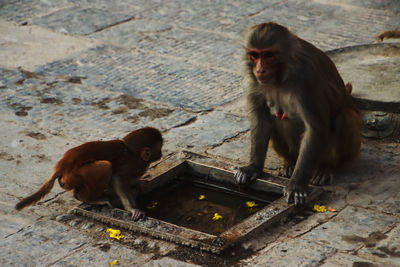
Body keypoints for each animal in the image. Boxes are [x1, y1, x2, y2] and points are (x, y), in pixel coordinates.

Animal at [15, 127, 162, 222]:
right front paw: (133, 209)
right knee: (105, 166)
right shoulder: (134, 164)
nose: (161, 154)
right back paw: (88, 198)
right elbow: (118, 178)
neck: (133, 152)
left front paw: (139, 183)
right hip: (72, 176)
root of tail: (63, 163)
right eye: (159, 148)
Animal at [234, 23, 362, 207]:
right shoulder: (253, 80)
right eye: (254, 55)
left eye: (268, 54)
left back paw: (327, 168)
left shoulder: (307, 79)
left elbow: (315, 129)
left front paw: (297, 185)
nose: (260, 69)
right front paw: (253, 167)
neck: (281, 75)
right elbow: (260, 119)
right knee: (277, 116)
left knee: (344, 117)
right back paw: (289, 162)